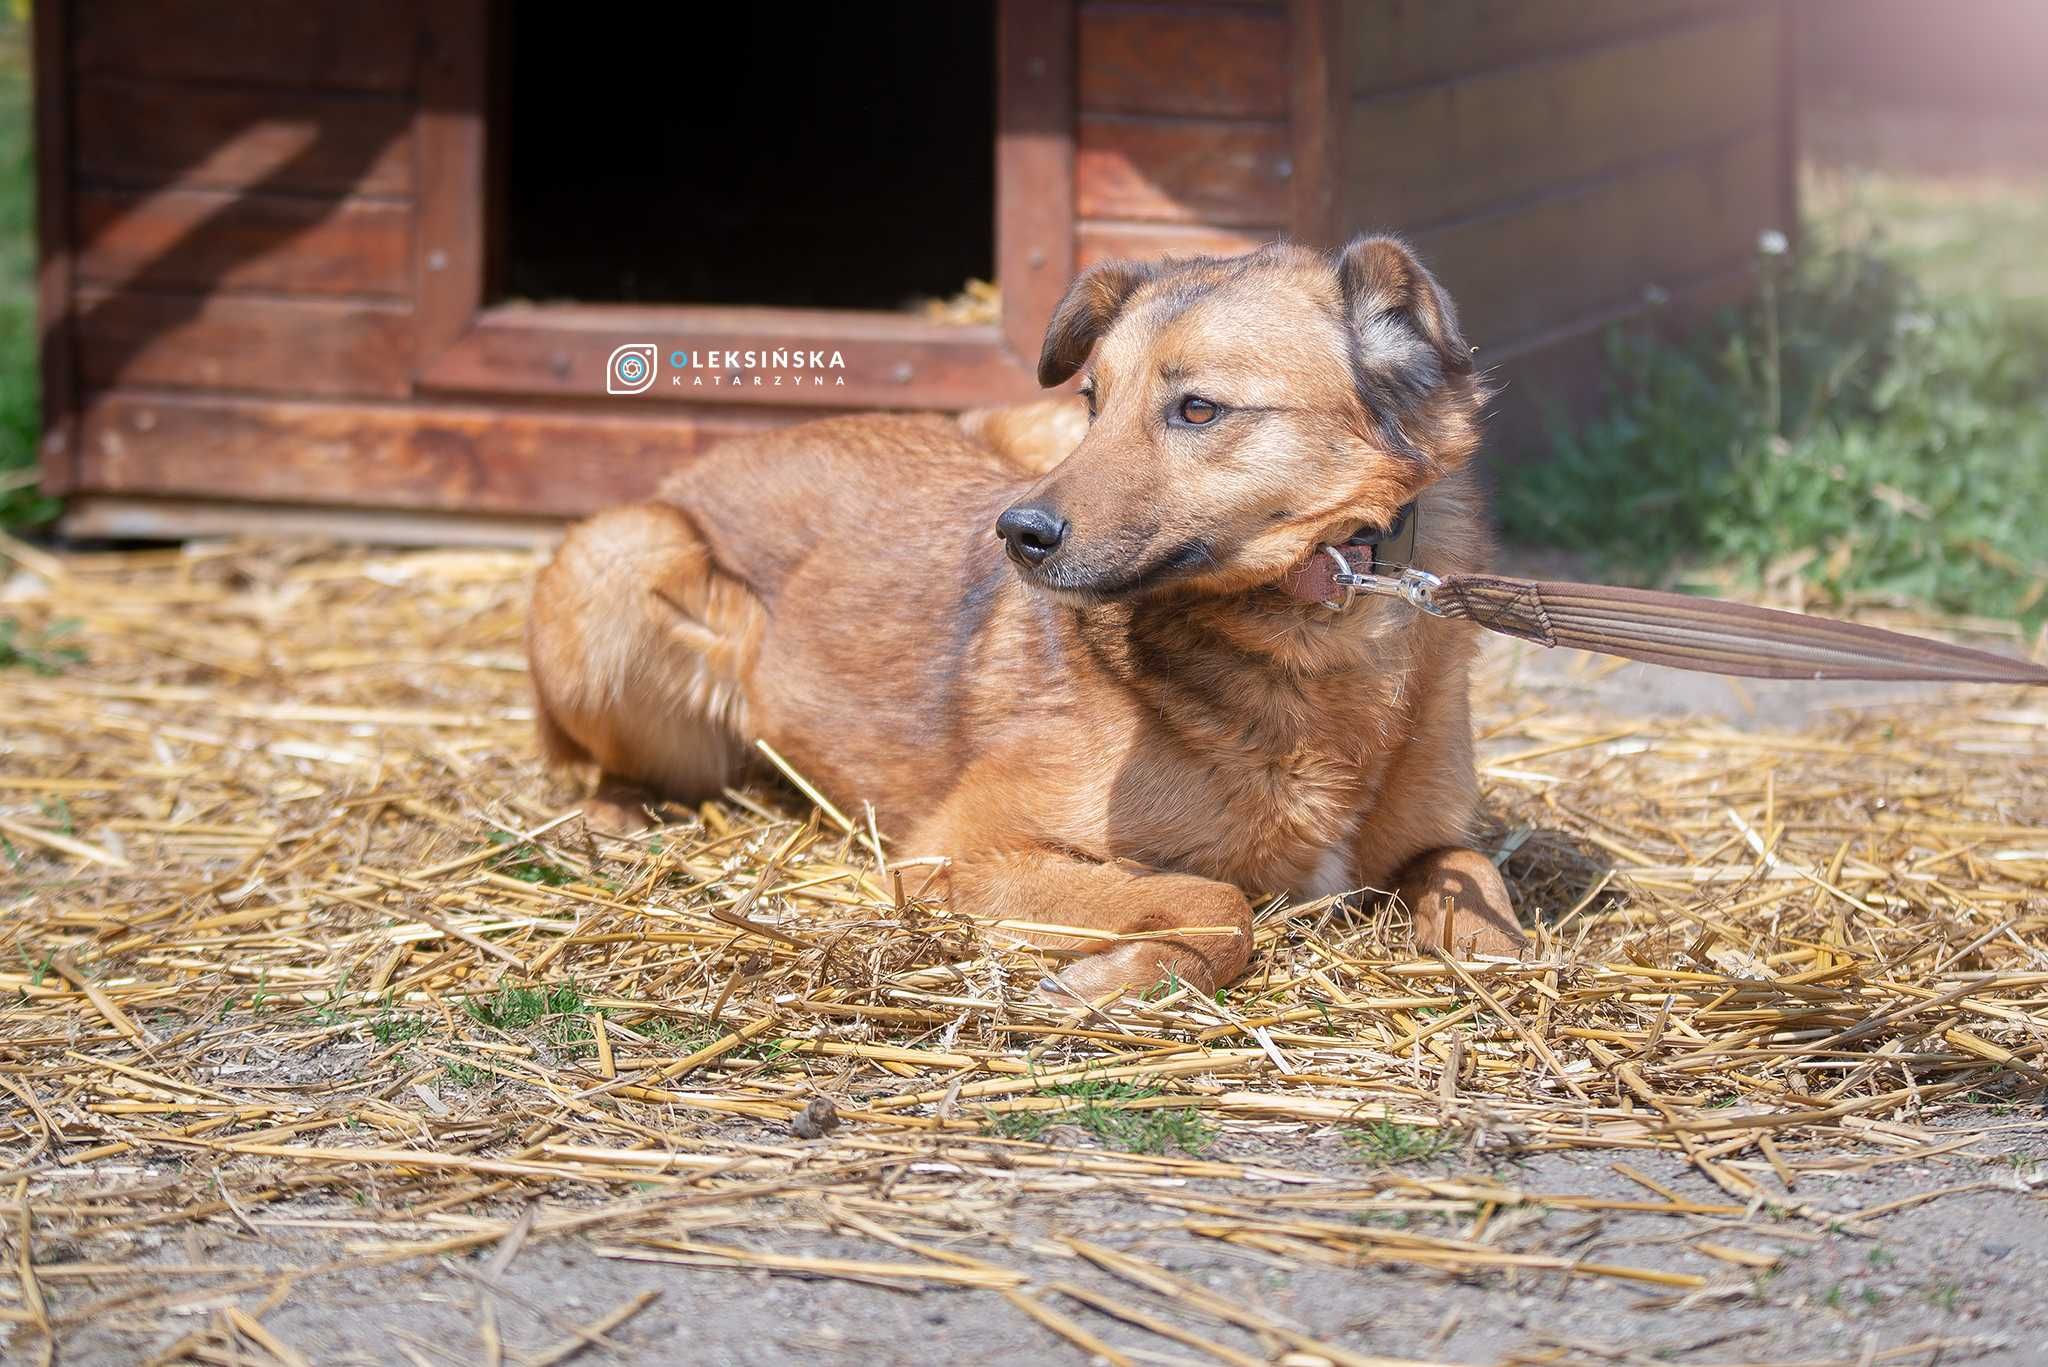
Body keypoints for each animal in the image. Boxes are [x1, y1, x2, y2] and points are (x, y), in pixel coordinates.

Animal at [528, 240, 1523, 1000]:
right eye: (1094, 399)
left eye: (1199, 407)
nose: (1018, 533)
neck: (1318, 632)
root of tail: (707, 458)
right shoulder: (956, 852)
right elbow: (1217, 899)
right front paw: (1121, 975)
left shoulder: (1436, 839)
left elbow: (1482, 884)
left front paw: (1491, 950)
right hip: (626, 557)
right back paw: (617, 815)